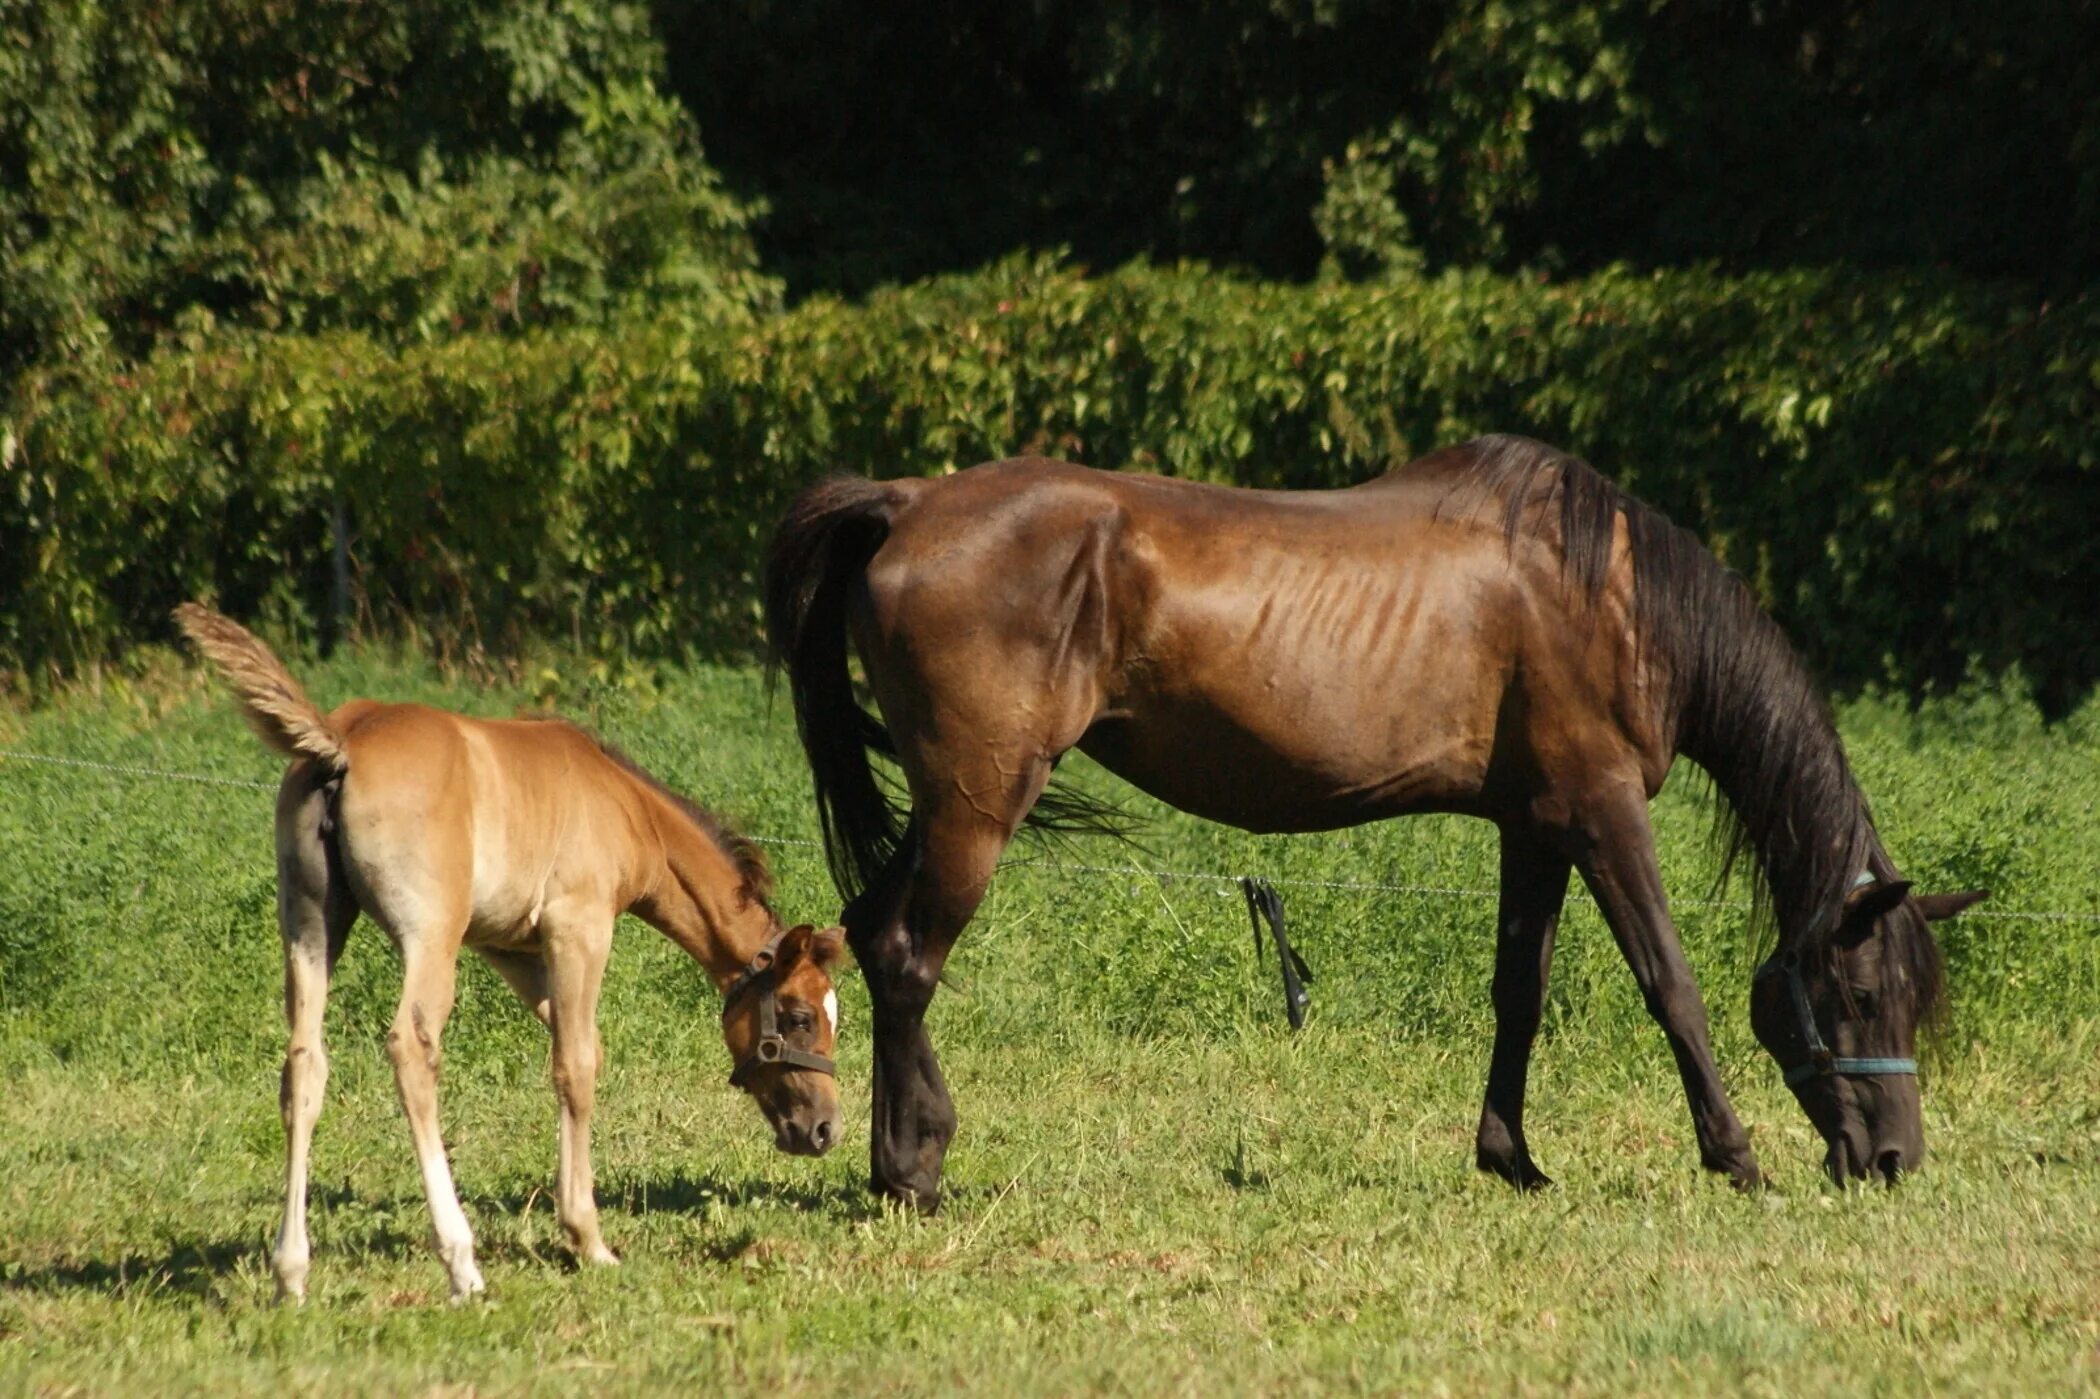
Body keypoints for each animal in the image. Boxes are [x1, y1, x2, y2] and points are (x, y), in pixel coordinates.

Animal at [174, 604, 844, 1302]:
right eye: (799, 1017)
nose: (825, 1128)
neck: (627, 808)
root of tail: (340, 742)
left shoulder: (510, 948)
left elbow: (582, 1047)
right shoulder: (579, 928)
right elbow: (576, 1065)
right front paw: (588, 1239)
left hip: (310, 924)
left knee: (304, 1063)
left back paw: (291, 1273)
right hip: (431, 937)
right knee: (411, 1049)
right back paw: (462, 1264)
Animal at [768, 430, 1982, 1201]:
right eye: (1860, 993)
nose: (1891, 1162)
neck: (1609, 594)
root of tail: (907, 502)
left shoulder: (1534, 826)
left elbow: (1519, 992)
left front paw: (1511, 1157)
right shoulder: (1602, 814)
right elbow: (1671, 985)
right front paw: (1734, 1155)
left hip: (948, 802)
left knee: (870, 935)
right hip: (978, 802)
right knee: (911, 953)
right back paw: (913, 1168)